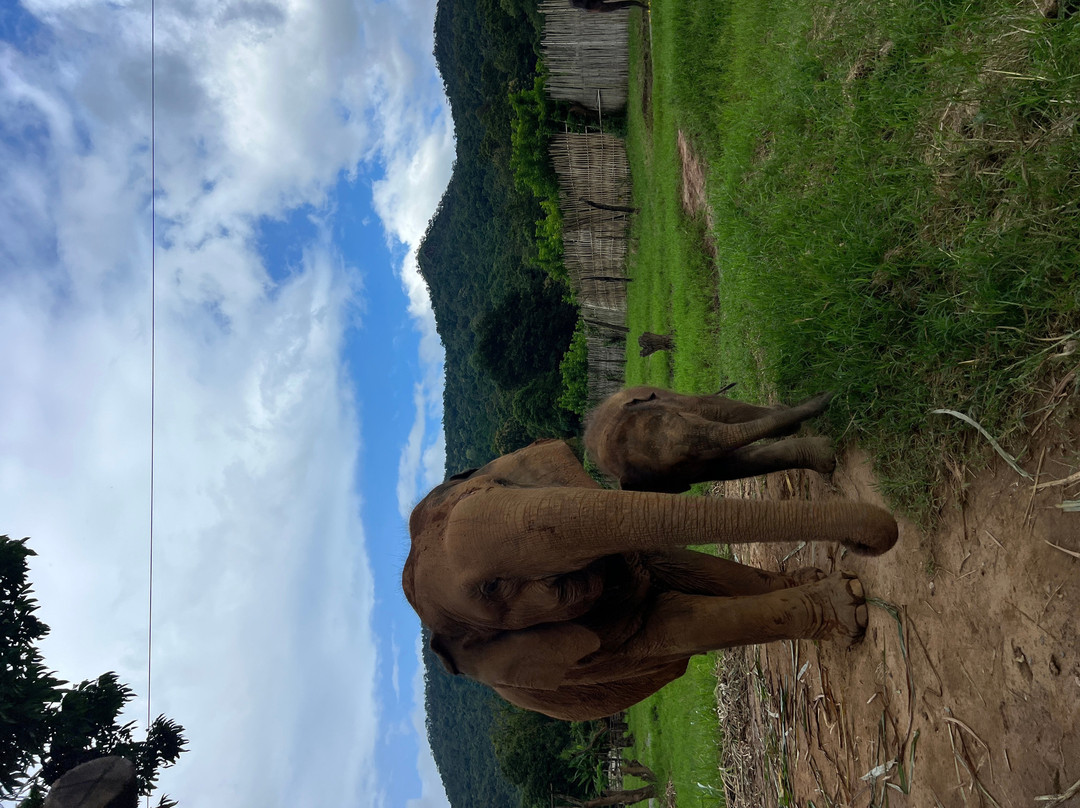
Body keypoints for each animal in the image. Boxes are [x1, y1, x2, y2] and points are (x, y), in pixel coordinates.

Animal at [403, 439, 898, 721]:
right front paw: (849, 602)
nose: (873, 542)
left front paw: (813, 579)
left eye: (500, 488)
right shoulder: (586, 656)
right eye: (494, 589)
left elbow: (682, 565)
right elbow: (682, 622)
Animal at [584, 386, 840, 493]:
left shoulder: (682, 406)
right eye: (680, 464)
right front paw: (826, 455)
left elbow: (717, 411)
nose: (826, 395)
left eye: (678, 416)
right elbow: (731, 467)